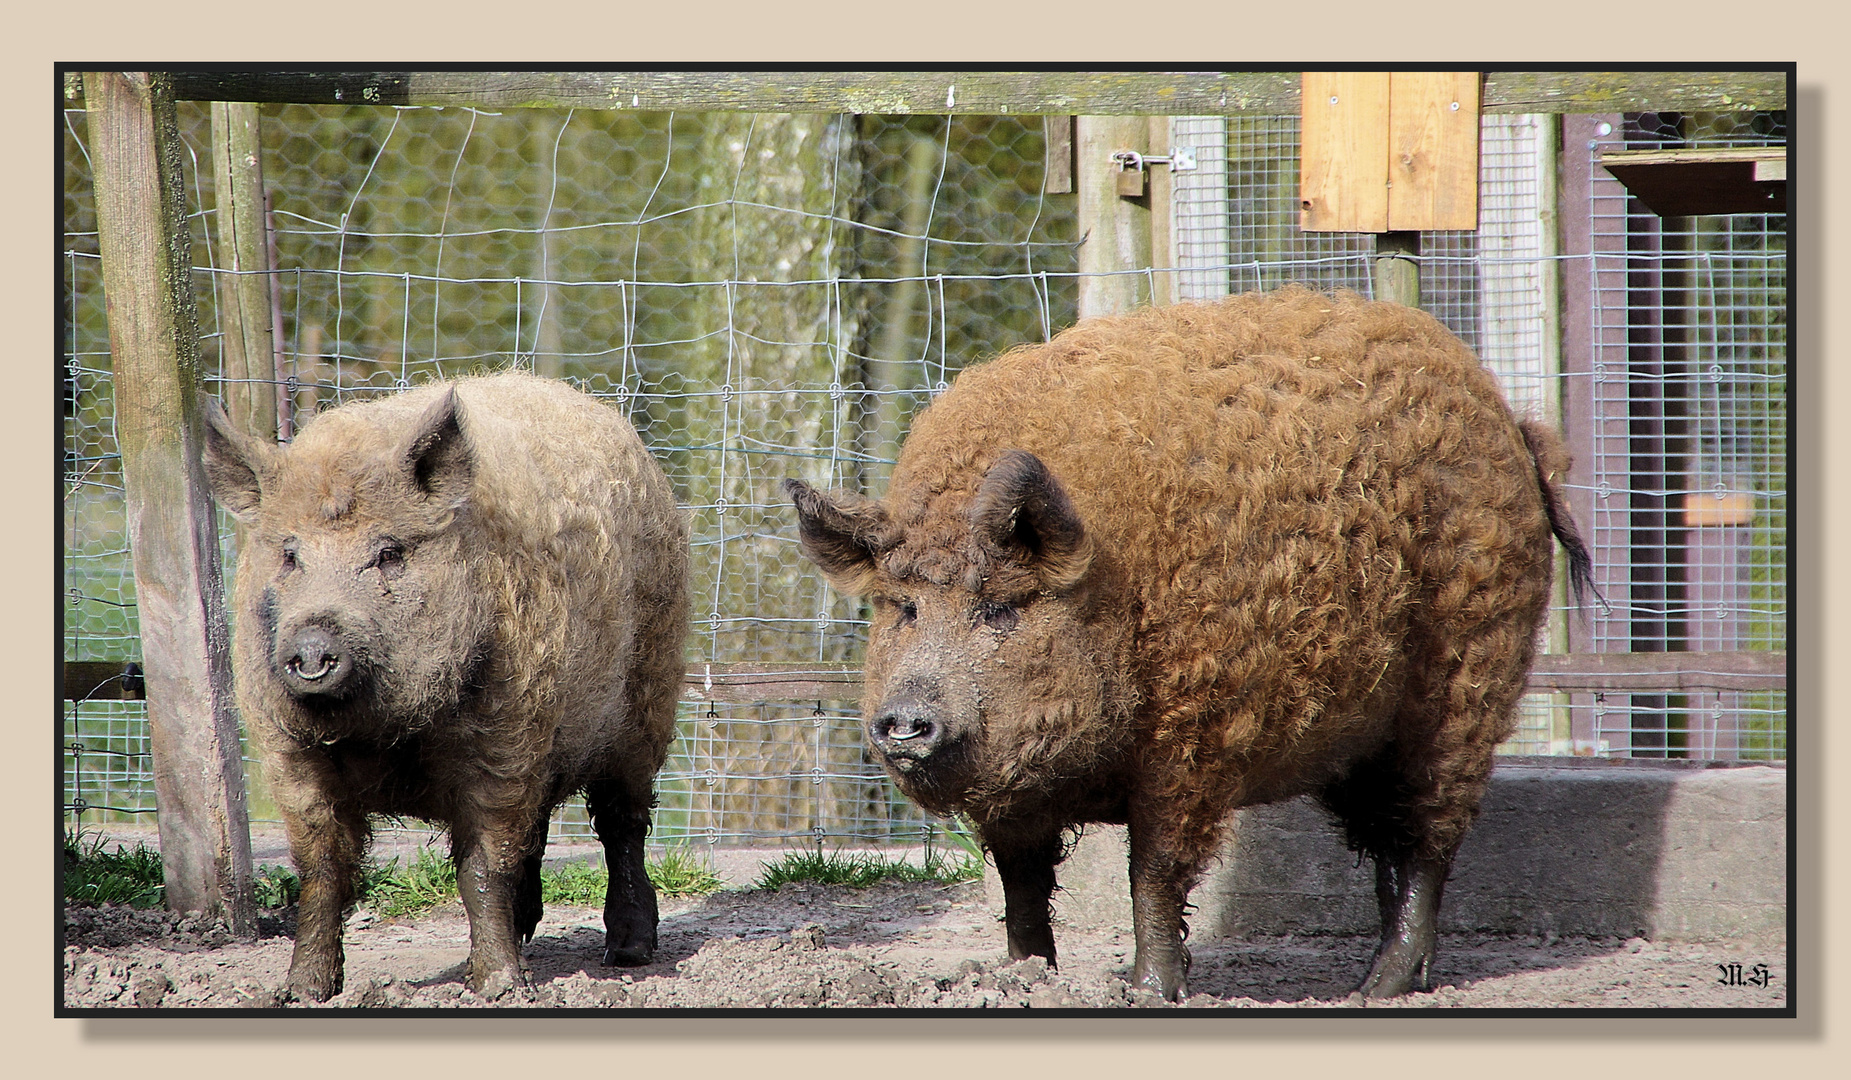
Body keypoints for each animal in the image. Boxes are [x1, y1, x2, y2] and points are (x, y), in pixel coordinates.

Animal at [202, 374, 692, 1007]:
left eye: (388, 552)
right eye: (289, 555)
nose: (310, 647)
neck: (388, 736)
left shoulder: (503, 734)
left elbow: (482, 865)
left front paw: (500, 989)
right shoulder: (289, 750)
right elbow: (321, 868)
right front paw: (303, 991)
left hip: (649, 695)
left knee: (621, 822)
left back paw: (628, 953)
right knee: (540, 826)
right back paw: (528, 932)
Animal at [784, 287, 1591, 1007]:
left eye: (1001, 608)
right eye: (904, 607)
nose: (903, 722)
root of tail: (1512, 423)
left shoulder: (1195, 736)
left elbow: (1155, 872)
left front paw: (1146, 993)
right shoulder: (1013, 794)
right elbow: (1022, 884)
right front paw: (1025, 980)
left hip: (1466, 681)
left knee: (1428, 839)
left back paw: (1372, 992)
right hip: (1362, 733)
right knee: (1388, 843)